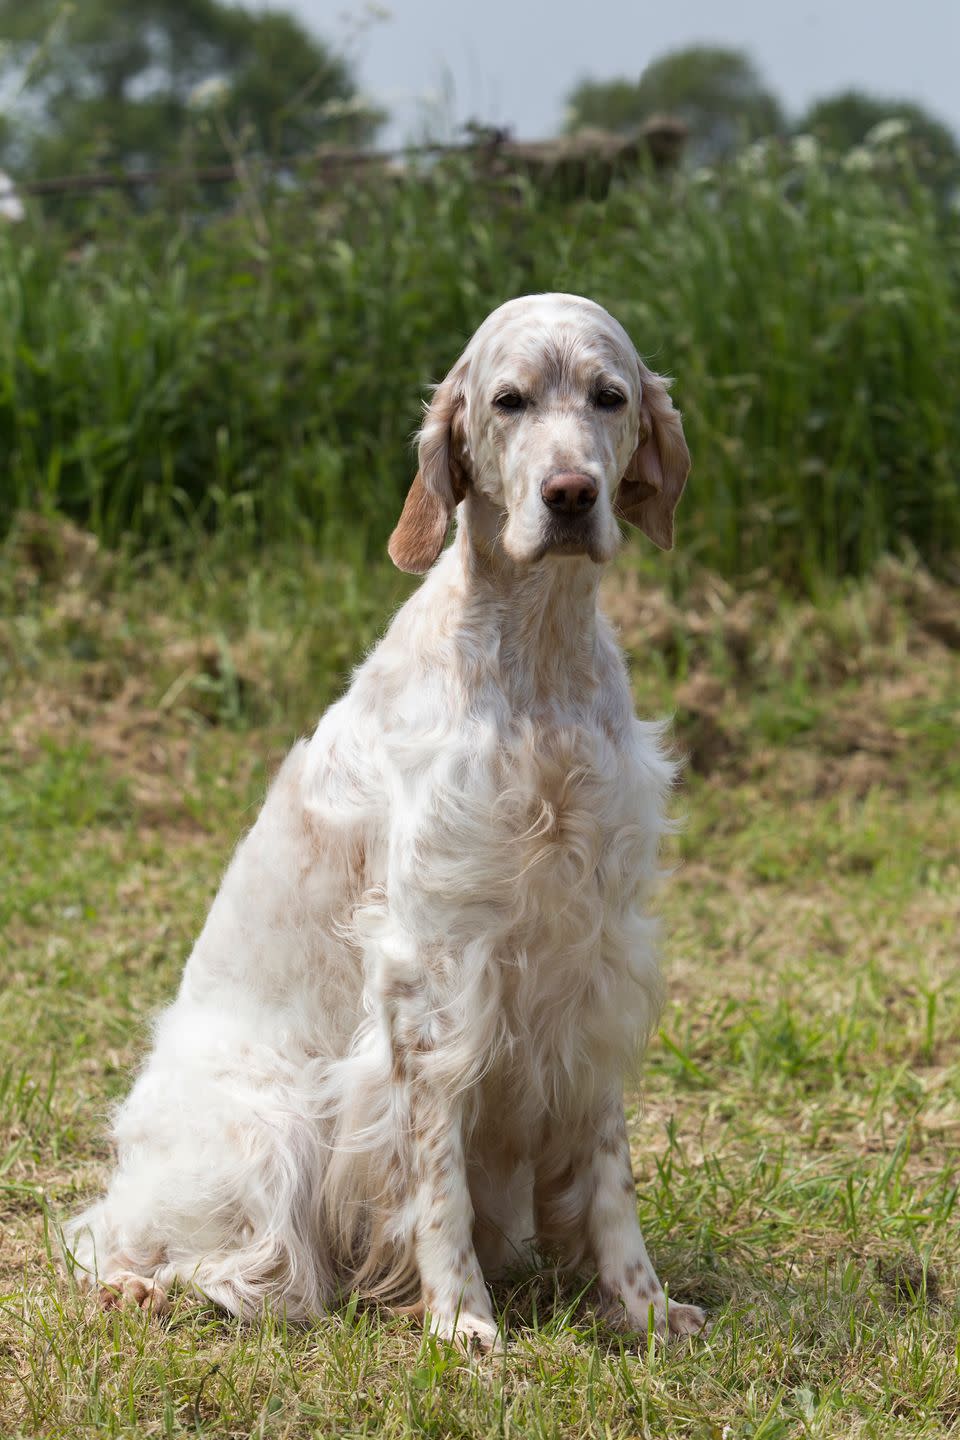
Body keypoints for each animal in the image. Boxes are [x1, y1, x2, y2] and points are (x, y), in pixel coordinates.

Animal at [63, 292, 702, 1347]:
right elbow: (432, 1172)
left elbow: (608, 1170)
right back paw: (149, 1285)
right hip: (270, 1121)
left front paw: (643, 1305)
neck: (539, 668)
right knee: (151, 1240)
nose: (570, 495)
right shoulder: (432, 968)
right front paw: (461, 1323)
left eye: (609, 396)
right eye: (509, 400)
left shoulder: (593, 957)